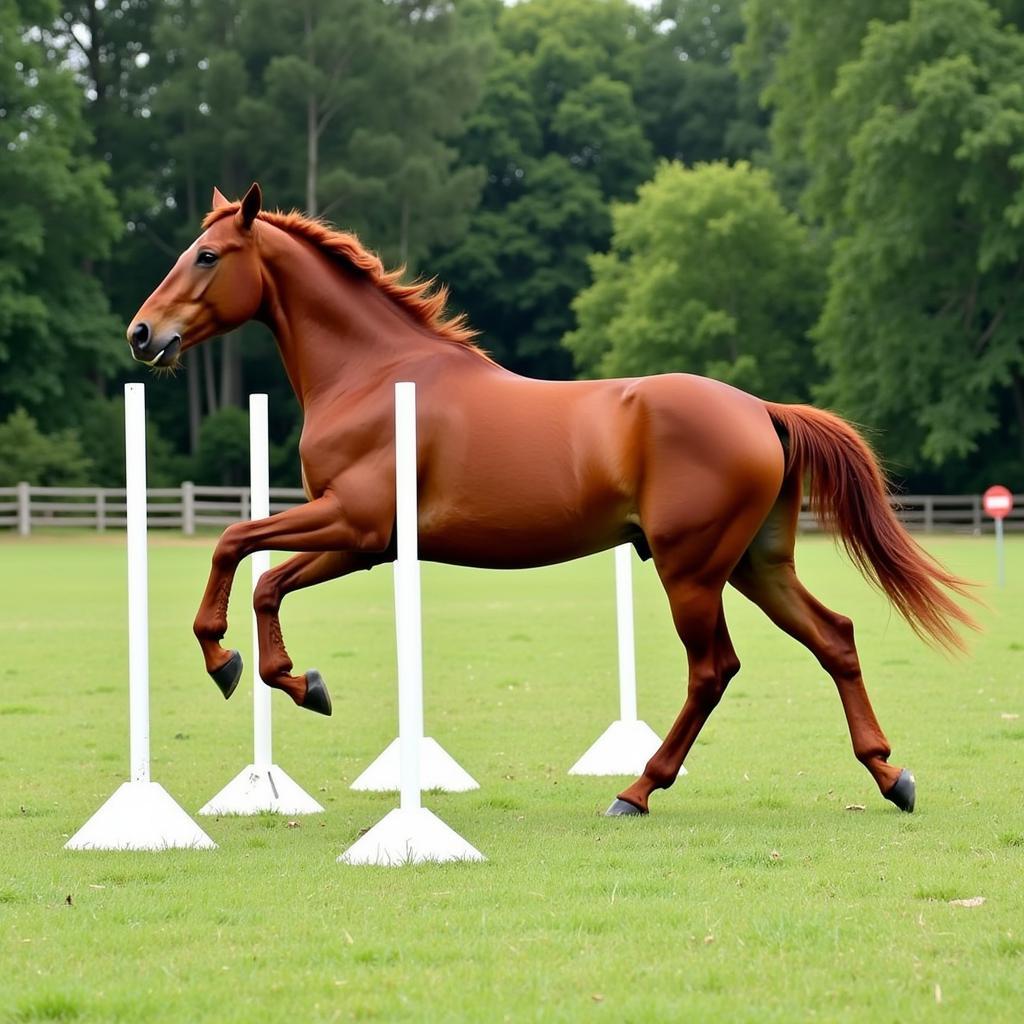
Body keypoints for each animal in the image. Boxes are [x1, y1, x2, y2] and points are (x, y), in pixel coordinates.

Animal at [123, 184, 970, 815]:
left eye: (207, 255)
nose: (141, 334)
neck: (373, 373)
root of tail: (762, 410)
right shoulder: (362, 543)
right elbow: (263, 579)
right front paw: (296, 681)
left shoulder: (354, 526)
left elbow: (236, 546)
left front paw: (234, 662)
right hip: (756, 566)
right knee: (835, 638)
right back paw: (890, 775)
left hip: (692, 571)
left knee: (713, 670)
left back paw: (637, 790)